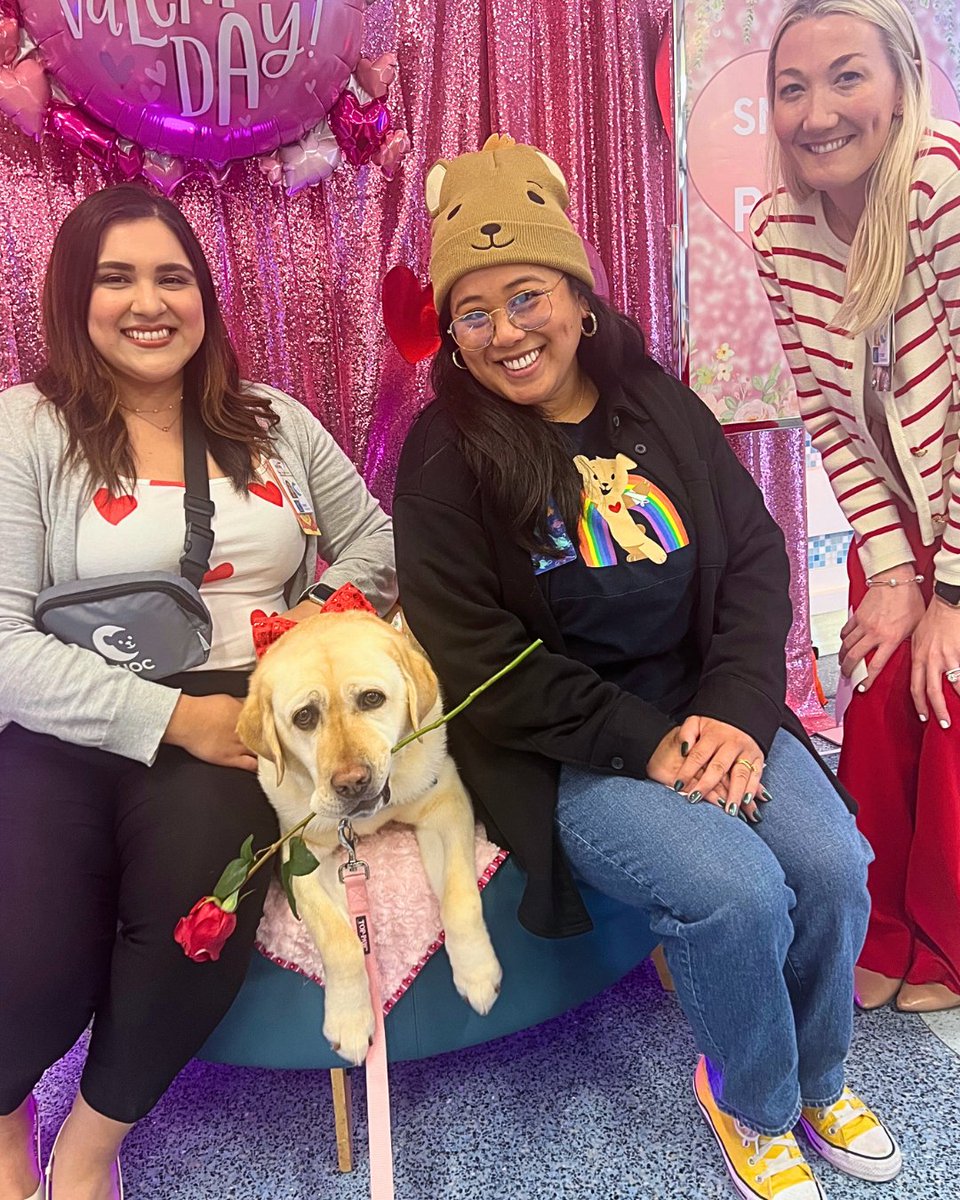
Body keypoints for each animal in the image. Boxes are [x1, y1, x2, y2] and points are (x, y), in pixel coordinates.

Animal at [237, 614, 501, 1065]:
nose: (352, 783)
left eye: (372, 699)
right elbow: (341, 940)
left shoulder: (445, 806)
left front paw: (477, 969)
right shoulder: (301, 857)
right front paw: (350, 1018)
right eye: (304, 717)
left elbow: (460, 897)